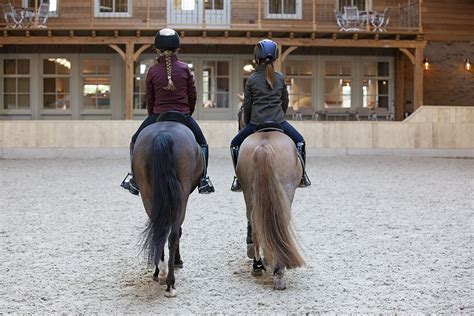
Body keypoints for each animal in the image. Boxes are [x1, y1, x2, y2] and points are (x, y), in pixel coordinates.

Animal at [131, 115, 204, 296]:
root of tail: (162, 134)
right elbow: (178, 232)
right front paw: (178, 260)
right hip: (181, 197)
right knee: (173, 235)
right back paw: (170, 282)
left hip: (148, 195)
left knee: (159, 230)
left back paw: (160, 271)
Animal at [235, 97, 306, 290]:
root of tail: (264, 145)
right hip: (284, 191)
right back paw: (273, 268)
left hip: (251, 192)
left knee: (256, 221)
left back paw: (263, 265)